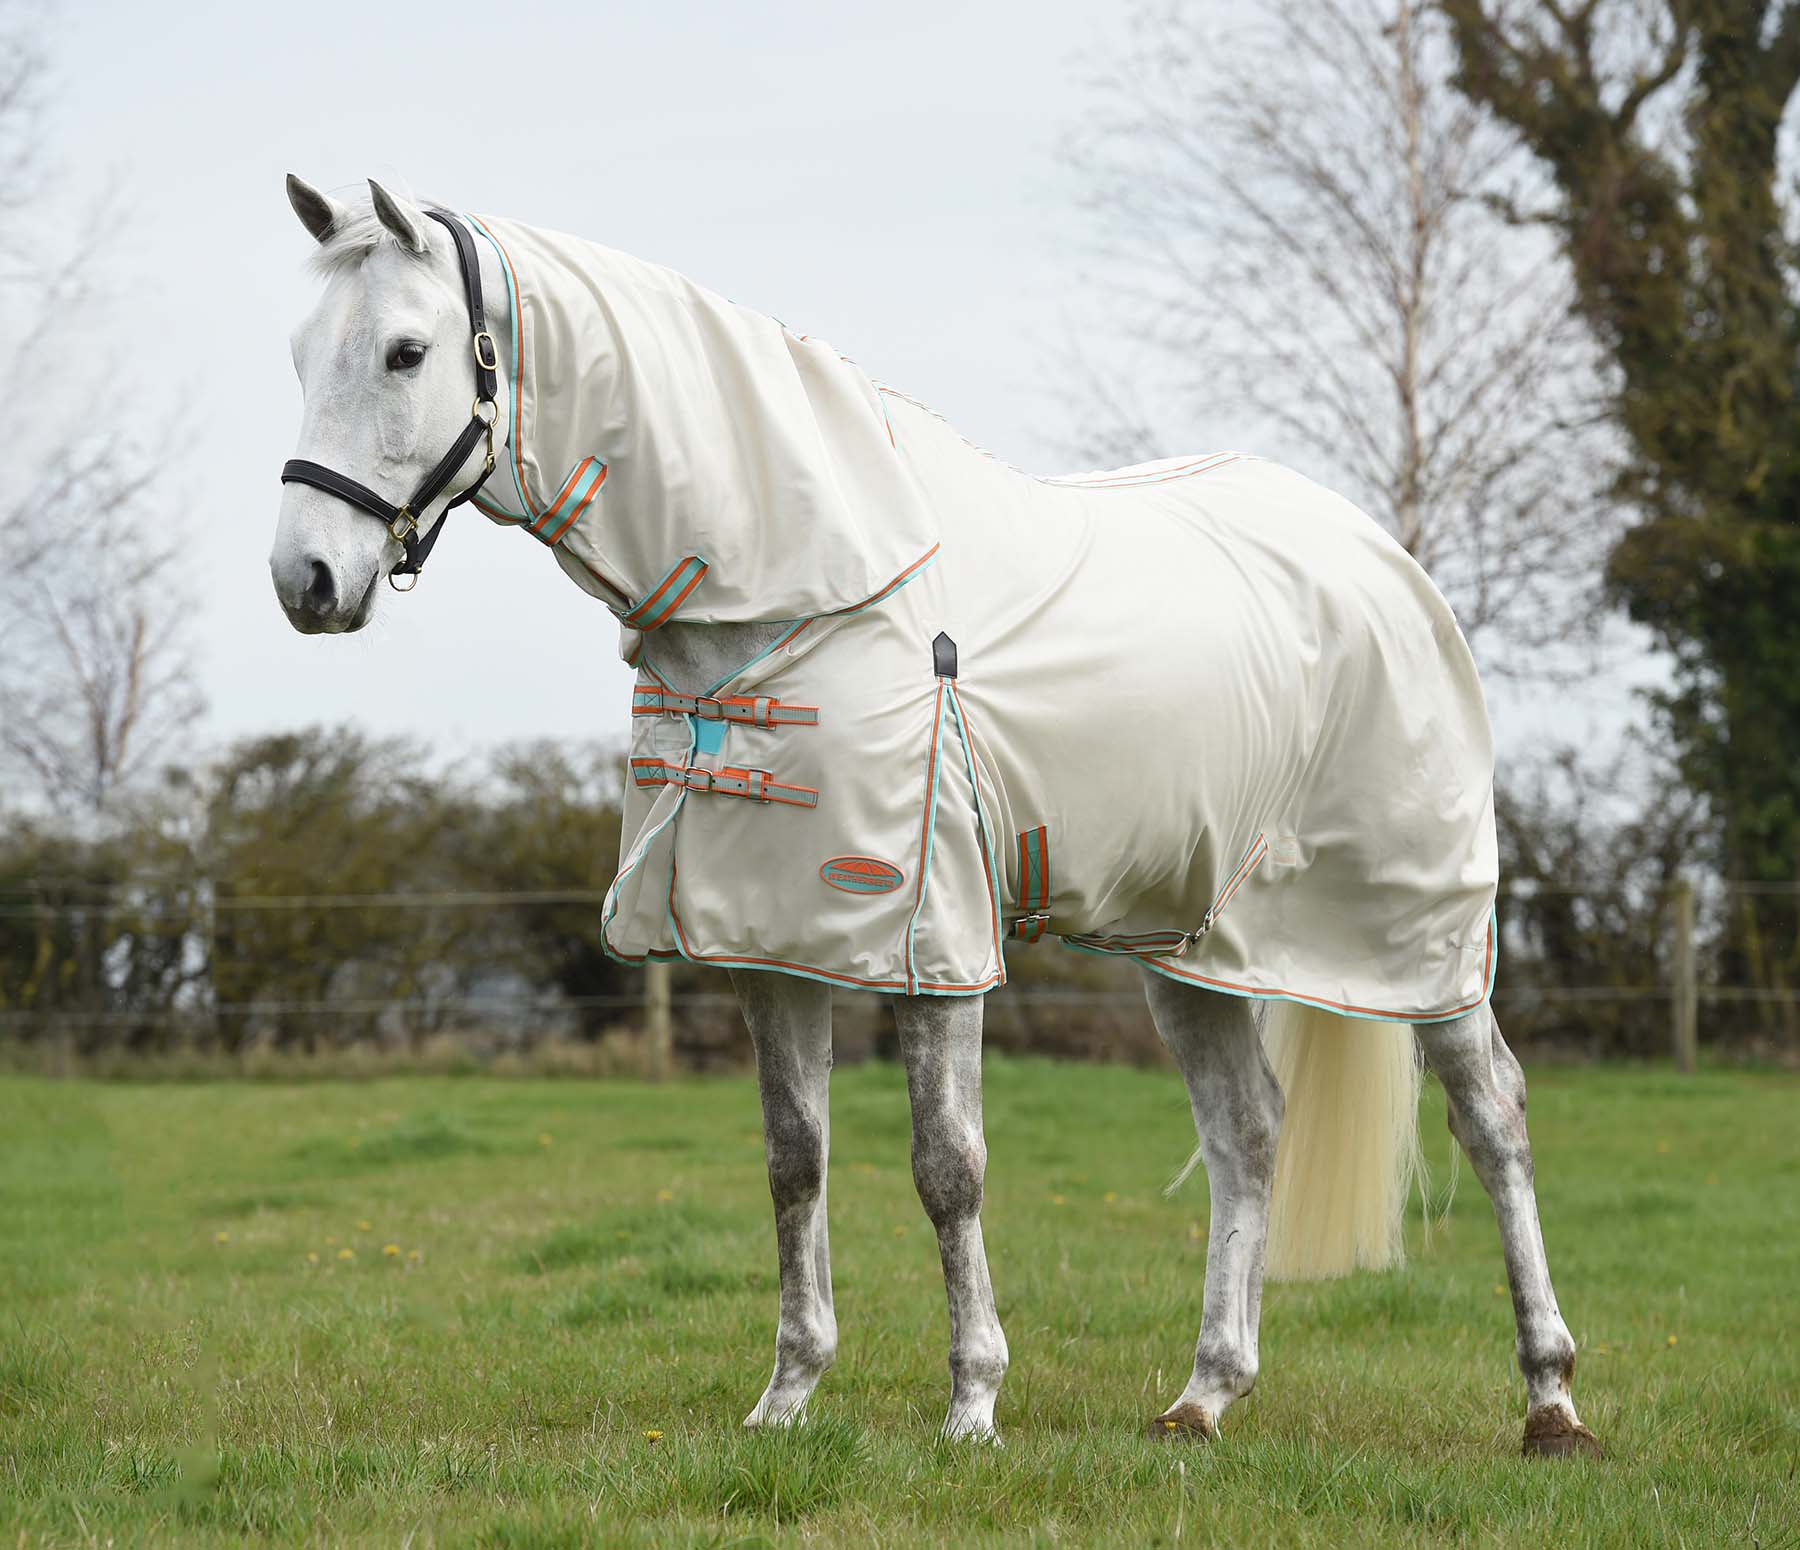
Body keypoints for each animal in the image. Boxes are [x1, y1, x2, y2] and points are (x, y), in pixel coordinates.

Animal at [270, 174, 1599, 1458]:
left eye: (404, 351)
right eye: (297, 350)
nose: (305, 582)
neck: (811, 583)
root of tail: (1386, 560)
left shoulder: (930, 940)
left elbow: (945, 1168)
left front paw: (972, 1403)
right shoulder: (769, 942)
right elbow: (793, 1162)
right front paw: (788, 1395)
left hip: (1420, 930)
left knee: (1494, 1116)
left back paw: (1550, 1401)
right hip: (1193, 943)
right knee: (1248, 1132)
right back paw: (1204, 1397)